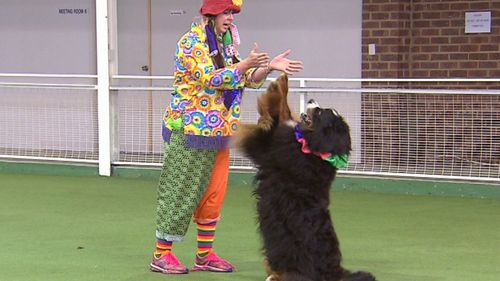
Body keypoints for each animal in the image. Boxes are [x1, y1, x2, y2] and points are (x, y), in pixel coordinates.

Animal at [234, 74, 376, 280]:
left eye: (320, 113)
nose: (311, 100)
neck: (315, 149)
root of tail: (335, 273)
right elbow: (284, 110)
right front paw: (282, 80)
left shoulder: (268, 145)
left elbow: (274, 114)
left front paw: (274, 91)